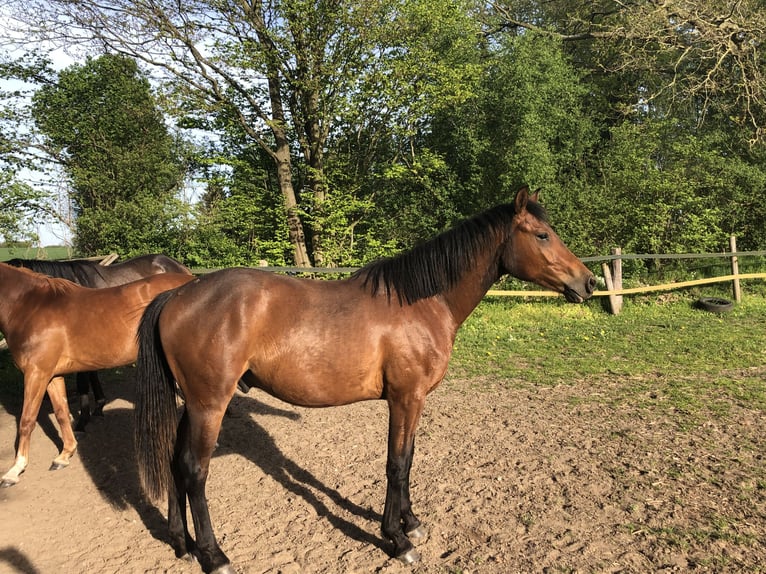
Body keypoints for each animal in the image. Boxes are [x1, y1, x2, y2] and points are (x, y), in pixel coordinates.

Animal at [135, 187, 596, 572]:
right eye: (542, 235)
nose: (588, 282)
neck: (422, 302)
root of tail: (176, 295)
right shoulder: (405, 398)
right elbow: (396, 463)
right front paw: (397, 539)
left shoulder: (414, 401)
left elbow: (408, 460)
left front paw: (412, 523)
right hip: (209, 405)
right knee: (195, 471)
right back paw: (214, 555)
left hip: (191, 405)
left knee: (174, 463)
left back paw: (181, 543)